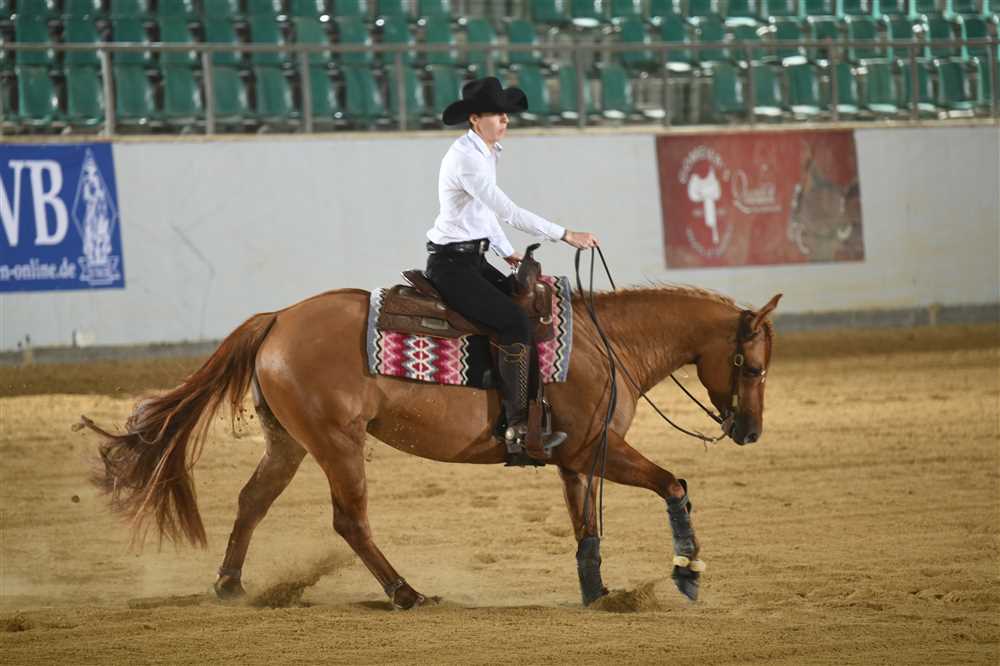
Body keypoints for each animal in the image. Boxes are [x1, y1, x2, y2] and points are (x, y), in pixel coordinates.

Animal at [79, 279, 781, 609]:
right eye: (752, 365)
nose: (749, 432)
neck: (605, 347)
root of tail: (278, 318)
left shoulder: (576, 462)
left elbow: (586, 530)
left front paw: (599, 596)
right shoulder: (596, 452)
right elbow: (674, 483)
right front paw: (686, 573)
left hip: (289, 443)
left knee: (252, 501)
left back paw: (230, 585)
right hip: (338, 444)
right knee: (350, 521)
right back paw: (406, 593)